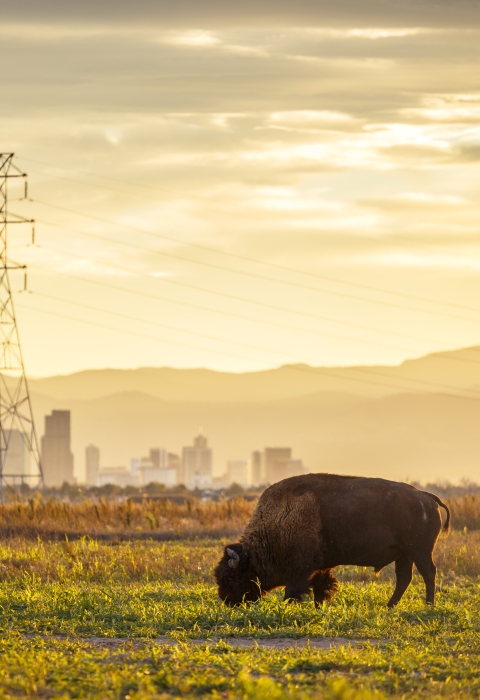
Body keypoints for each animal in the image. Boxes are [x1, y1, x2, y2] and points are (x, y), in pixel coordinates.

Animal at [214, 476, 450, 608]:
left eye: (231, 578)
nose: (228, 602)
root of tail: (426, 497)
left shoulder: (300, 569)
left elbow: (294, 589)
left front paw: (289, 605)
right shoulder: (319, 567)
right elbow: (321, 586)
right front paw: (319, 606)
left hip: (419, 551)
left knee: (428, 573)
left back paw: (428, 605)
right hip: (404, 554)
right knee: (404, 579)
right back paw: (389, 606)